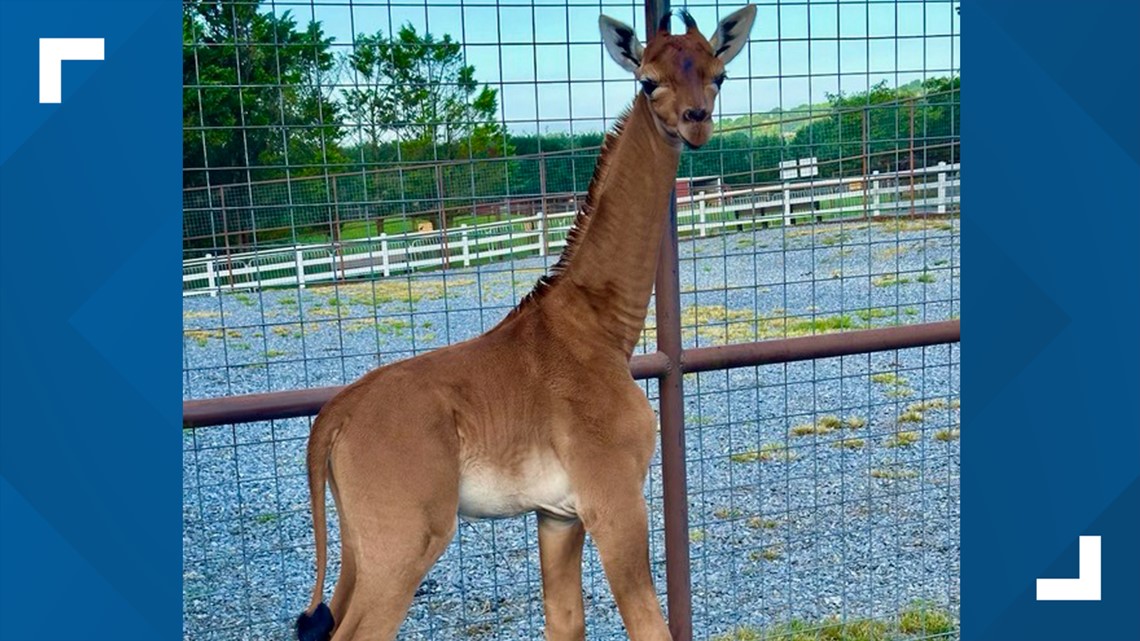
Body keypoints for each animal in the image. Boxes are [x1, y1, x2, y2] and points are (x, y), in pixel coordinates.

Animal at [298, 6, 752, 638]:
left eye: (718, 75)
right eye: (647, 81)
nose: (696, 122)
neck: (598, 328)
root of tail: (331, 421)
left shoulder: (557, 515)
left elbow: (565, 621)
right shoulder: (614, 499)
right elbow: (649, 623)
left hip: (359, 547)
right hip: (404, 542)